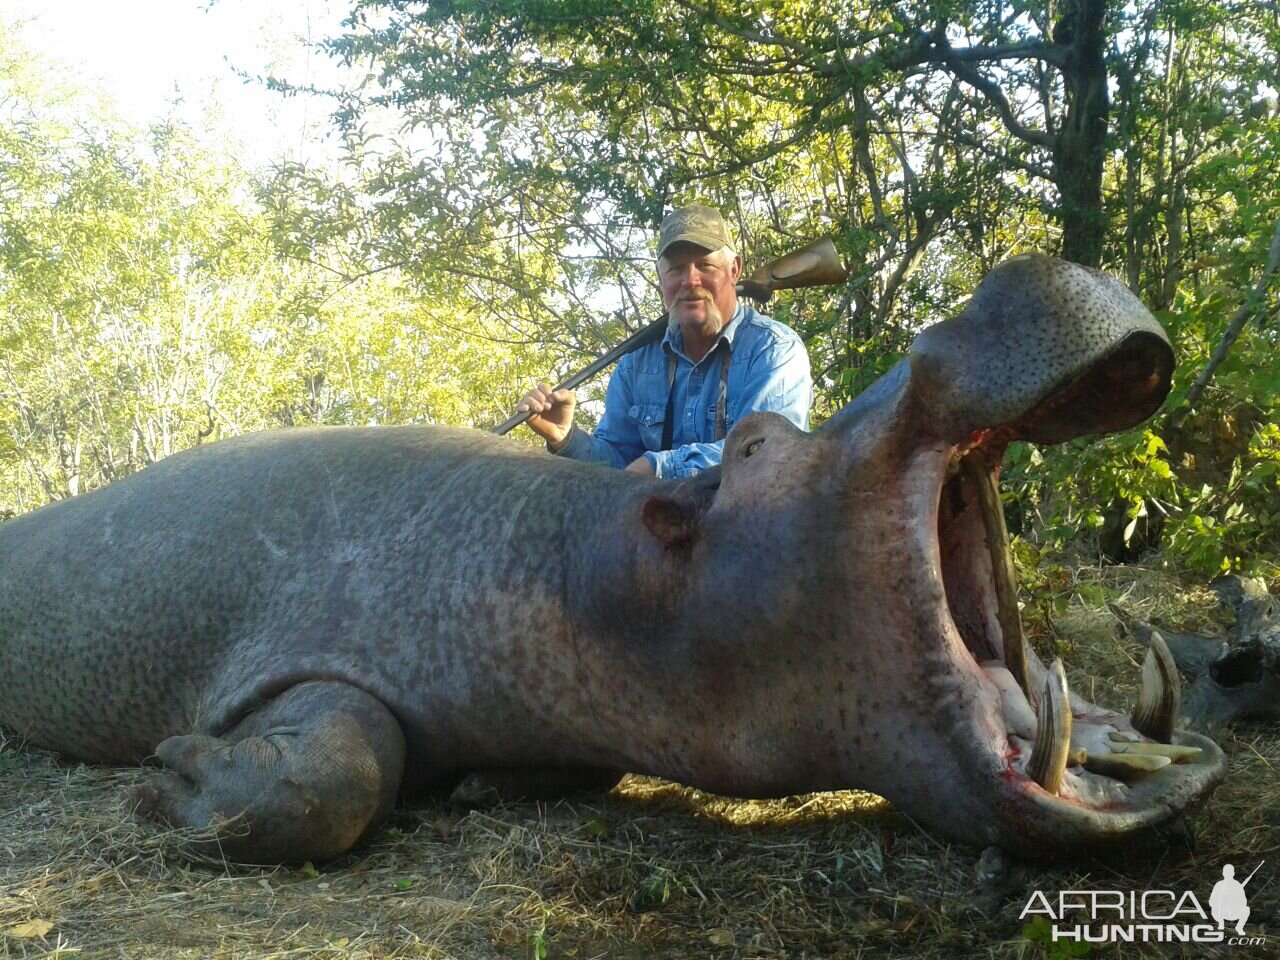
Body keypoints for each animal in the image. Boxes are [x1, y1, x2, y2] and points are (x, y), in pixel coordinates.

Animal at [0, 256, 1223, 865]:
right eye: (754, 443)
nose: (1013, 269)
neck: (591, 569)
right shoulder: (317, 652)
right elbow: (343, 770)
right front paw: (170, 774)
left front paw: (485, 788)